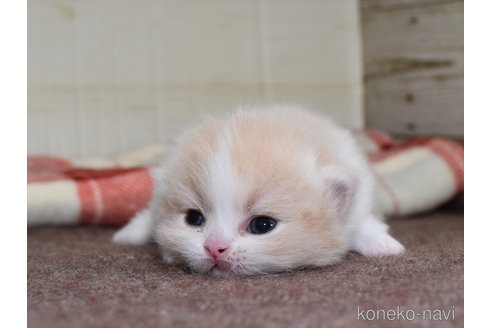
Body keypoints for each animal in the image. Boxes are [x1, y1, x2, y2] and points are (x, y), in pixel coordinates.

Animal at [114, 106, 404, 276]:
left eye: (262, 225)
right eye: (193, 219)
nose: (214, 248)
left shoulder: (360, 198)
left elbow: (365, 222)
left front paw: (385, 246)